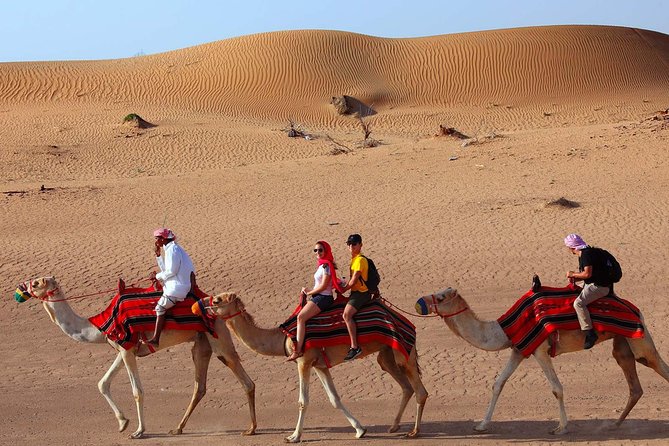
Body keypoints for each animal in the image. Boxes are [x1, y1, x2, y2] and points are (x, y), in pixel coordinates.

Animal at [15, 277, 257, 439]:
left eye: (36, 283)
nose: (20, 289)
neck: (98, 326)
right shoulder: (124, 348)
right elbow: (103, 383)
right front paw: (123, 423)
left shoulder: (126, 349)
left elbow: (137, 391)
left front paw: (139, 431)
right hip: (201, 343)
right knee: (200, 386)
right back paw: (178, 428)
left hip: (218, 336)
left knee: (244, 379)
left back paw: (251, 429)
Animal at [206, 292, 428, 443]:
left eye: (217, 300)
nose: (204, 307)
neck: (282, 337)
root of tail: (406, 321)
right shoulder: (320, 365)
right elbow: (334, 399)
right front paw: (360, 430)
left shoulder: (303, 360)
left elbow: (303, 401)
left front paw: (293, 436)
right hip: (387, 354)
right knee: (405, 386)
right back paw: (394, 426)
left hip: (403, 352)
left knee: (420, 391)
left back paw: (414, 432)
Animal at [418, 285, 669, 434]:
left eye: (441, 296)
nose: (420, 301)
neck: (503, 329)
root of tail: (638, 311)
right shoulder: (518, 350)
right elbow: (498, 383)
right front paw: (481, 425)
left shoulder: (540, 350)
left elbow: (556, 388)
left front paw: (561, 428)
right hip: (622, 344)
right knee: (634, 384)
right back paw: (615, 423)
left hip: (639, 339)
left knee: (657, 364)